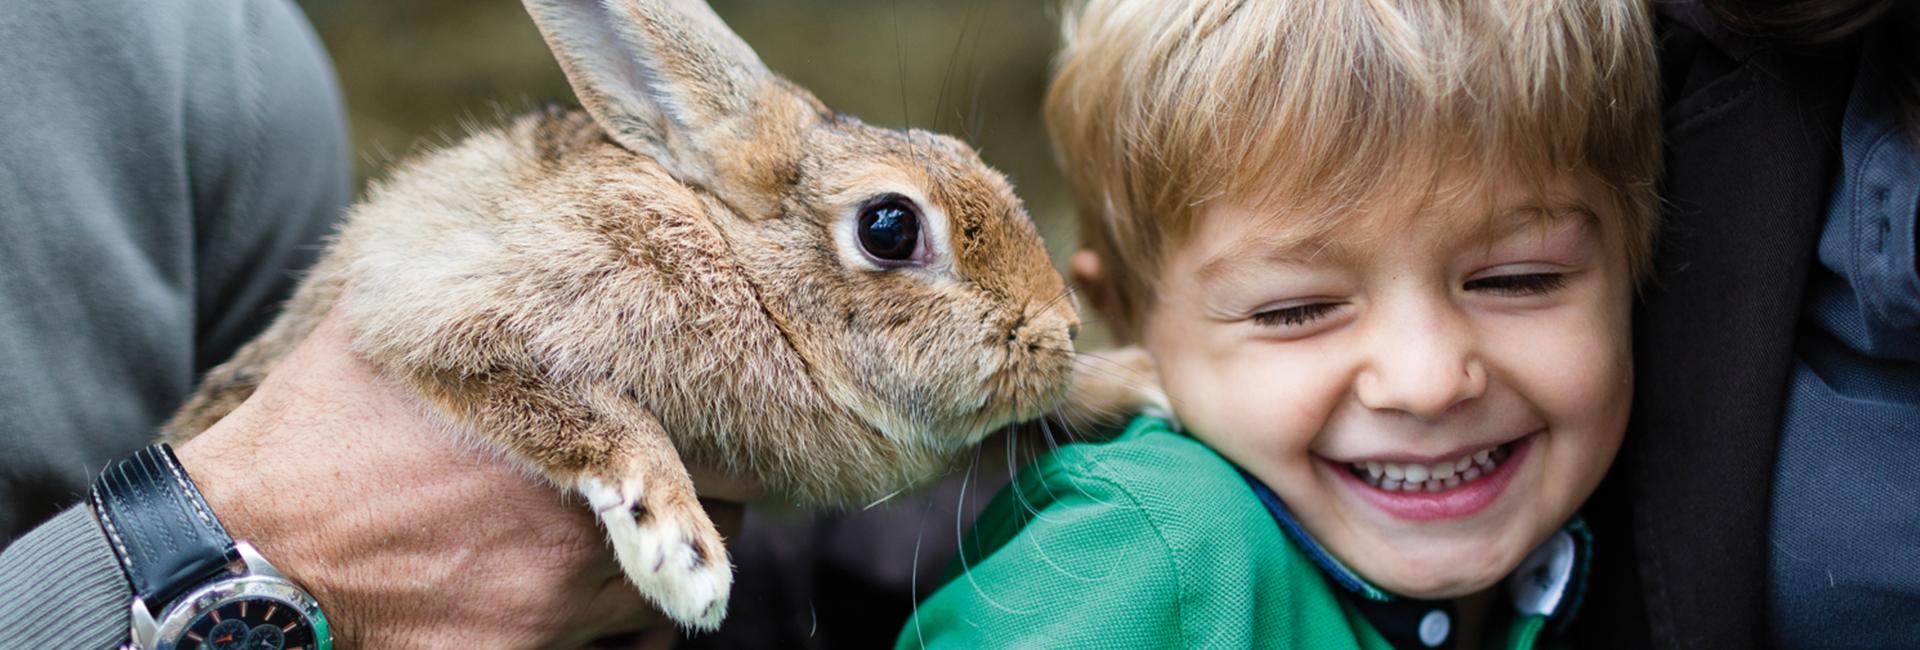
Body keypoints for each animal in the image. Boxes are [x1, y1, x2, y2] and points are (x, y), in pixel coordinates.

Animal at [165, 0, 1082, 632]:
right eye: (889, 226)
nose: (1063, 332)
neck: (741, 265)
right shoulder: (441, 306)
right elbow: (602, 416)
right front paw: (684, 556)